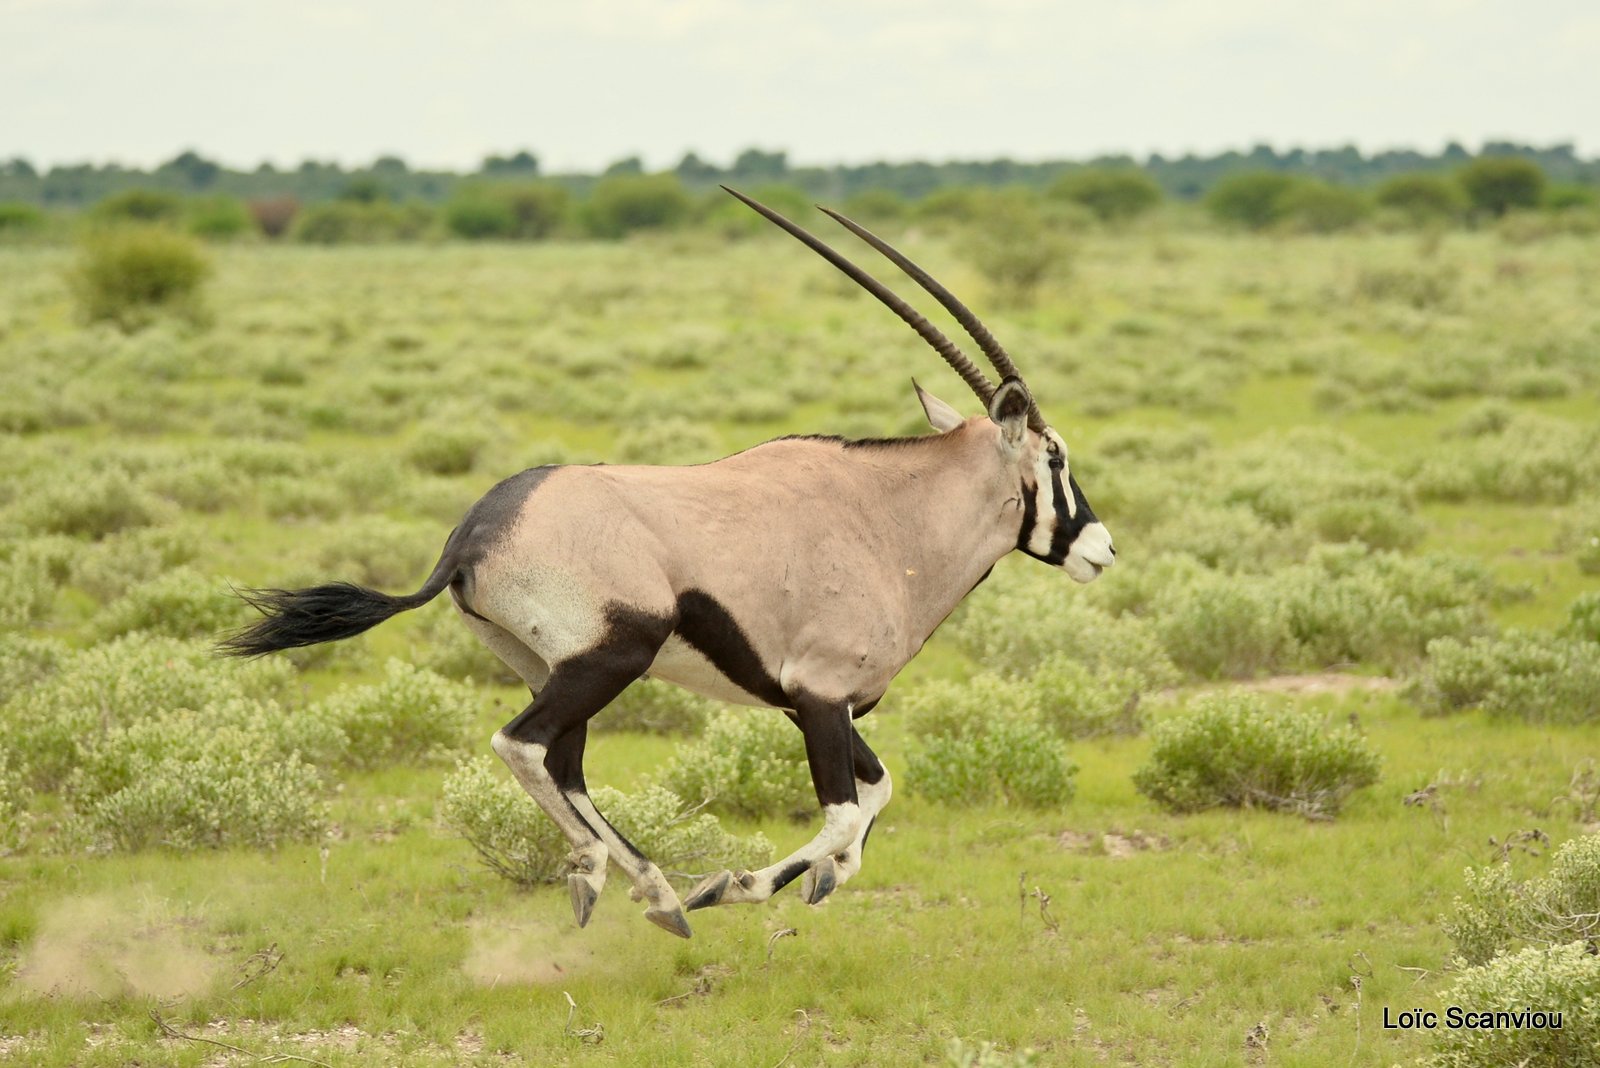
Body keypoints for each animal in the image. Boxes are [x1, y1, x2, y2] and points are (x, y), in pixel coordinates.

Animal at [225, 187, 1113, 940]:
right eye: (1056, 455)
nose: (1102, 548)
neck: (890, 518)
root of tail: (473, 534)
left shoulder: (815, 705)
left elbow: (877, 792)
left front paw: (821, 879)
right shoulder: (821, 696)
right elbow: (844, 811)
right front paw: (737, 884)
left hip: (549, 664)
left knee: (564, 763)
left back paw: (617, 882)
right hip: (616, 653)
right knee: (524, 745)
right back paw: (652, 891)